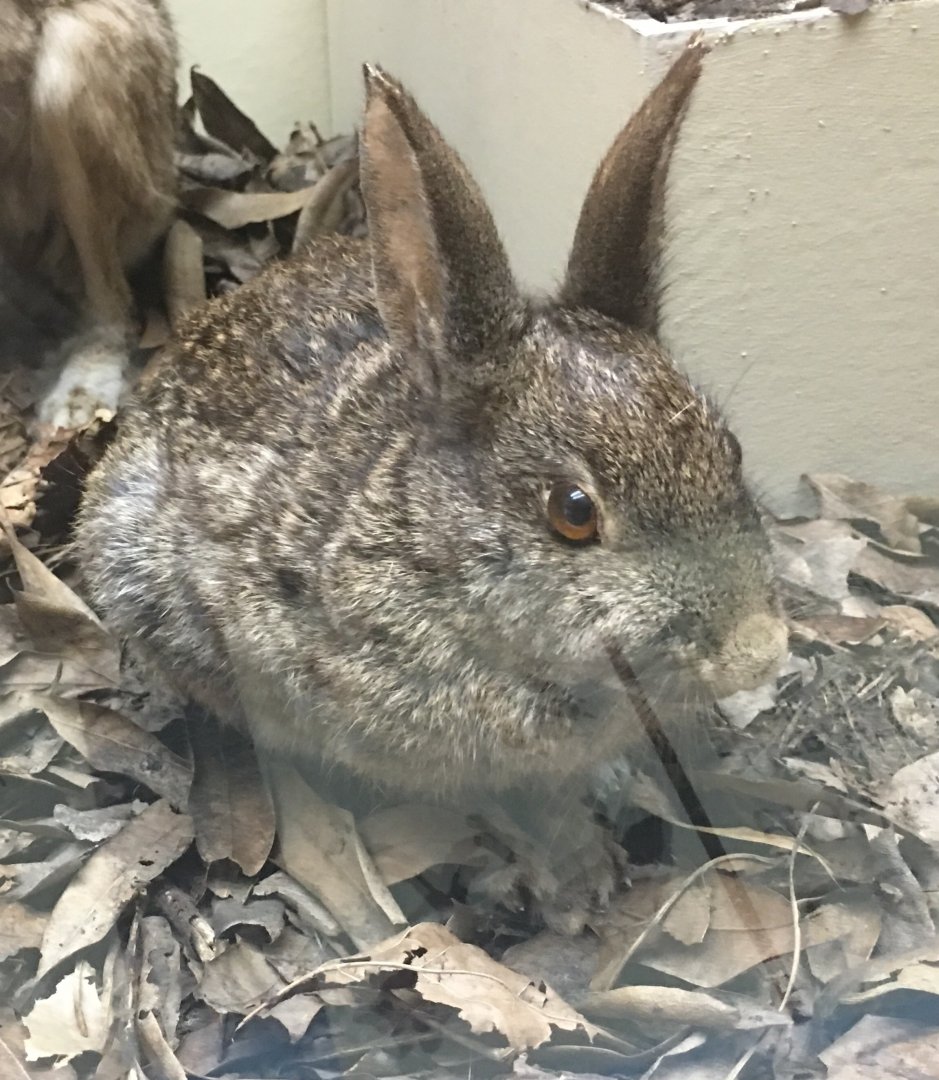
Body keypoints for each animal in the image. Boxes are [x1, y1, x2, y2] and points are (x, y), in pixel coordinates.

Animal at [77, 42, 788, 930]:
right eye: (573, 513)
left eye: (730, 450)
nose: (755, 651)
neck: (433, 550)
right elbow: (517, 805)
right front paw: (575, 878)